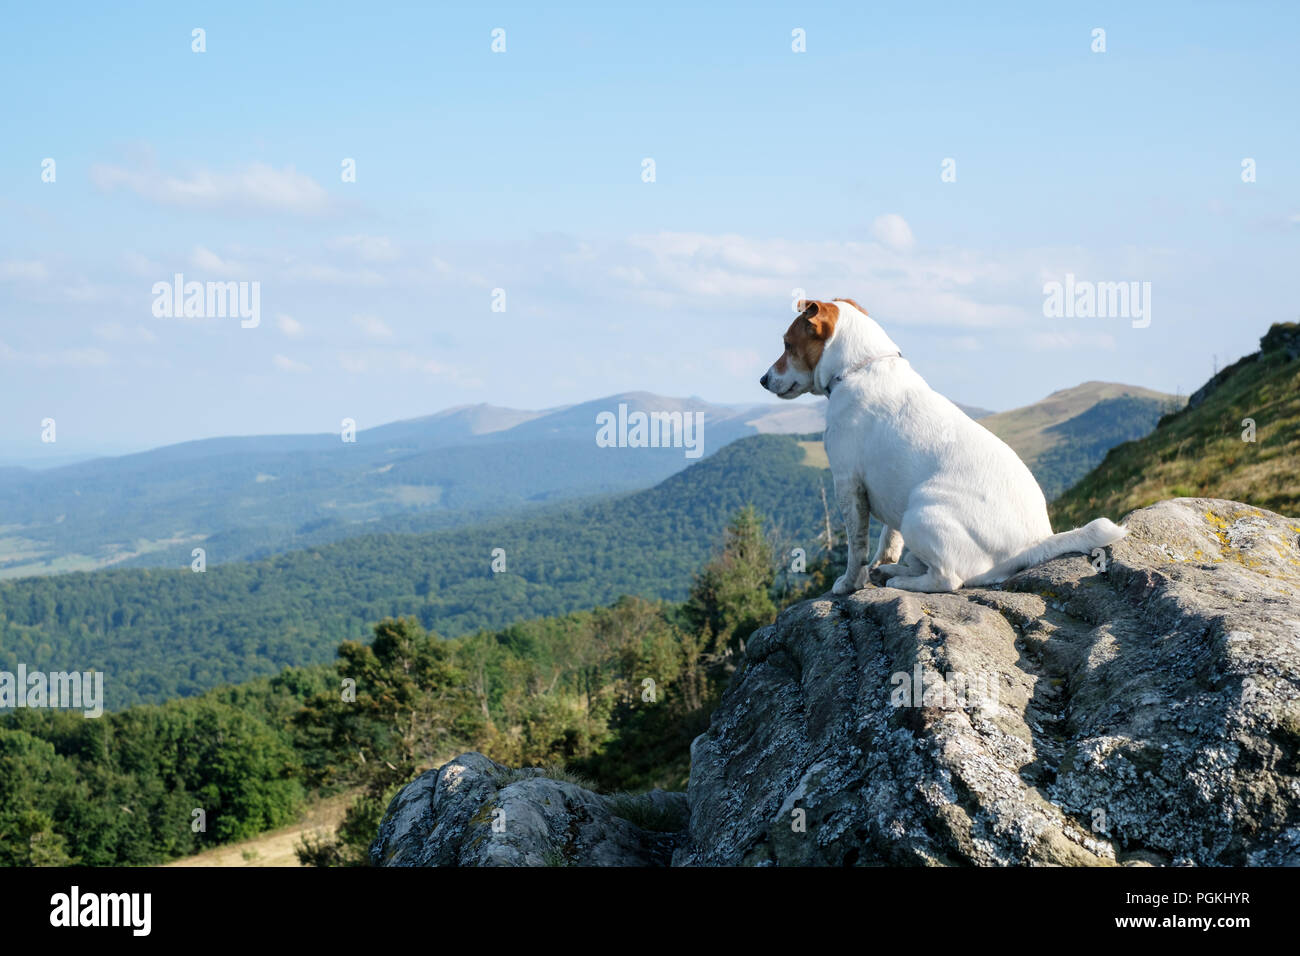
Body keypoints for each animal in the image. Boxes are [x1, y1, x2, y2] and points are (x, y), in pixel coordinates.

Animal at [759, 299, 1128, 590]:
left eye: (787, 344)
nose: (762, 380)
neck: (860, 367)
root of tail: (1032, 544)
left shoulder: (848, 486)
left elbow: (856, 550)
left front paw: (849, 584)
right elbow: (886, 540)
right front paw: (881, 565)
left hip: (919, 512)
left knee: (949, 579)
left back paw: (902, 581)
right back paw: (895, 570)